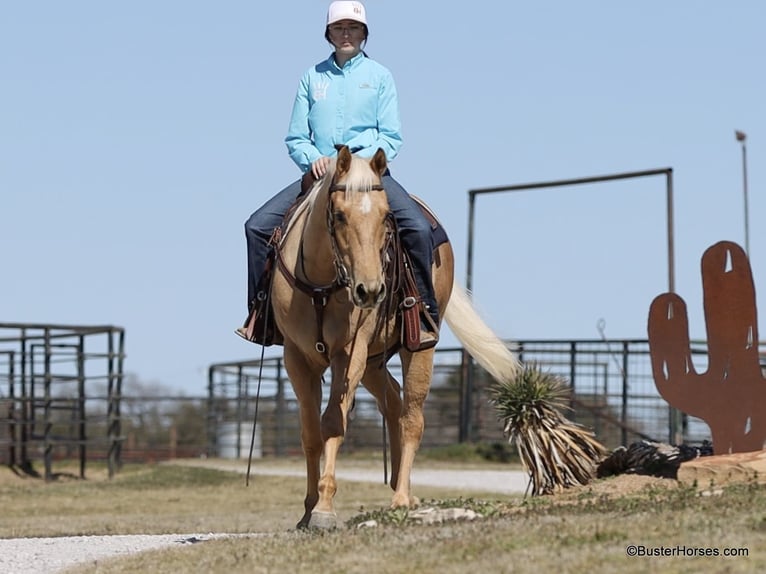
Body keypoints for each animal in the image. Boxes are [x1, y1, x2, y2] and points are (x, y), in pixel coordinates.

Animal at [269, 145, 520, 529]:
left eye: (387, 217)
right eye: (339, 215)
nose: (370, 290)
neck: (322, 286)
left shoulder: (349, 353)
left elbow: (333, 423)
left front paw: (324, 508)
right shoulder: (297, 358)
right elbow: (310, 432)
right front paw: (308, 510)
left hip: (417, 349)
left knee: (412, 418)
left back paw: (401, 498)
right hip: (373, 364)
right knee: (393, 403)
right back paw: (405, 490)